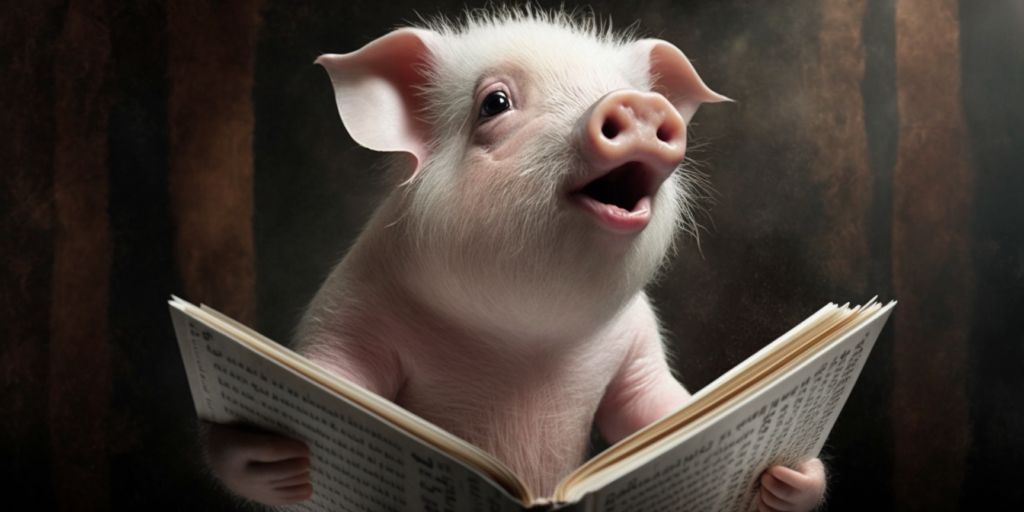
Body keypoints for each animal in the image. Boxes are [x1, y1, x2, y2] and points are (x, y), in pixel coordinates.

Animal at [204, 9, 826, 512]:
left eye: (625, 89)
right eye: (494, 103)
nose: (639, 104)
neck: (523, 342)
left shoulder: (638, 342)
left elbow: (655, 409)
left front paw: (794, 477)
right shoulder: (349, 313)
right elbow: (333, 381)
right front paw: (275, 461)